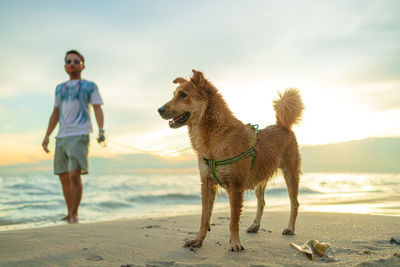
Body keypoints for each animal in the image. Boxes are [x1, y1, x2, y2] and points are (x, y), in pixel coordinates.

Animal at [157, 70, 304, 252]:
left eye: (183, 95)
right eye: (174, 95)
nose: (159, 110)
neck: (218, 136)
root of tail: (283, 126)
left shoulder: (235, 186)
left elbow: (233, 220)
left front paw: (235, 243)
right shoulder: (206, 183)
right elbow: (204, 217)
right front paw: (198, 240)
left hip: (290, 173)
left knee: (294, 203)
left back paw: (290, 228)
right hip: (260, 177)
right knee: (262, 202)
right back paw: (255, 225)